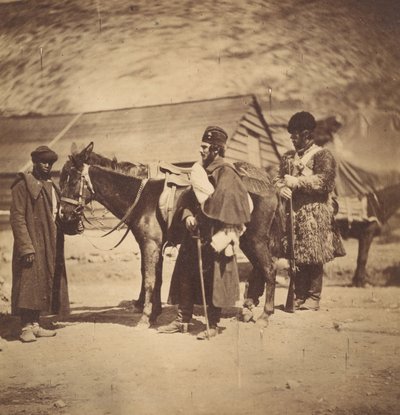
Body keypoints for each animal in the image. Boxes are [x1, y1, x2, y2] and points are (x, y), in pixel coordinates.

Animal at [59, 143, 282, 328]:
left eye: (72, 180)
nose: (64, 216)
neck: (141, 197)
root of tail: (269, 186)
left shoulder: (150, 244)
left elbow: (149, 279)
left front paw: (145, 316)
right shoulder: (155, 245)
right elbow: (155, 278)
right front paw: (153, 313)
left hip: (254, 240)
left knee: (269, 270)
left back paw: (264, 315)